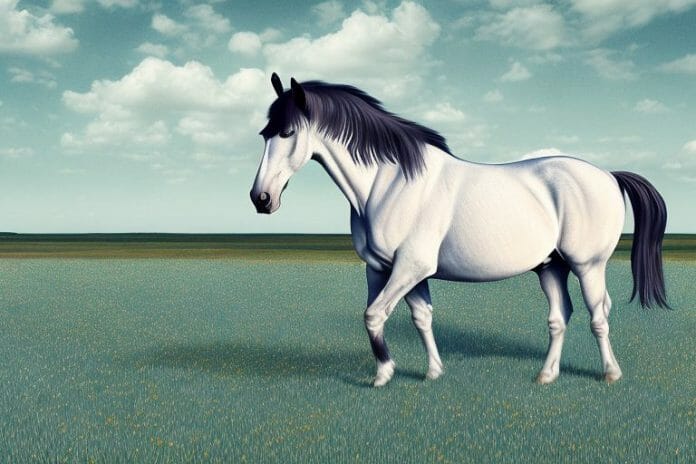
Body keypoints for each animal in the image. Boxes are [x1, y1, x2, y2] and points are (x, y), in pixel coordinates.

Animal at [250, 73, 669, 387]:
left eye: (288, 133)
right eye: (264, 134)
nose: (261, 198)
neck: (389, 183)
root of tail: (609, 175)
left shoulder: (410, 267)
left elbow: (374, 314)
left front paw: (384, 374)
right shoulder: (384, 269)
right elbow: (418, 316)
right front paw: (433, 372)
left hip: (587, 266)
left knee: (599, 314)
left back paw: (610, 373)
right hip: (551, 266)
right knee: (559, 317)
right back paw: (546, 375)